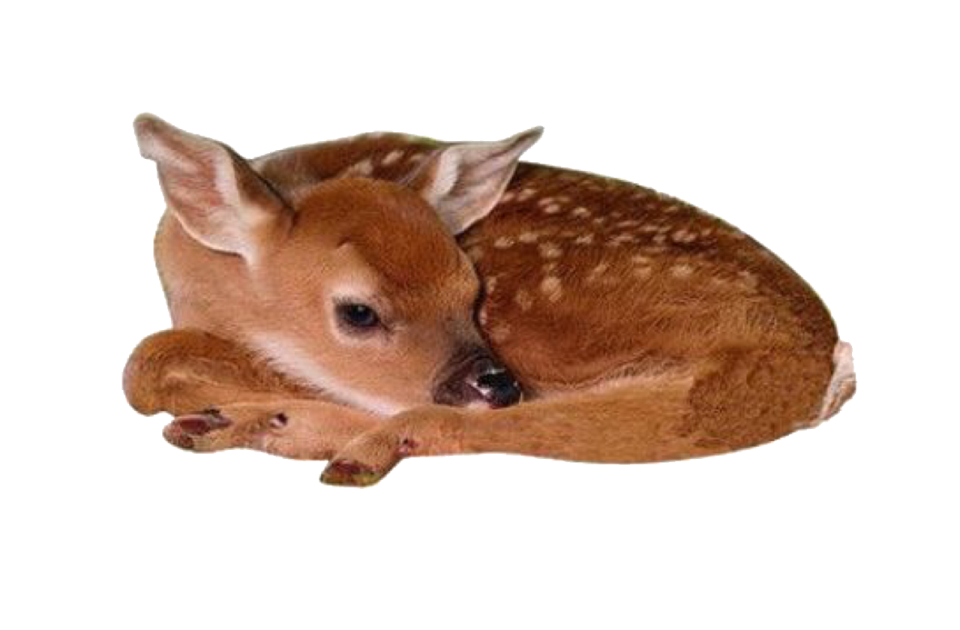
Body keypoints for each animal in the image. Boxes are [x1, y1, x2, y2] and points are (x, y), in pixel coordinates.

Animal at [124, 114, 856, 487]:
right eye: (359, 312)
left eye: (471, 288)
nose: (495, 383)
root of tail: (817, 354)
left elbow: (145, 363)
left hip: (560, 334)